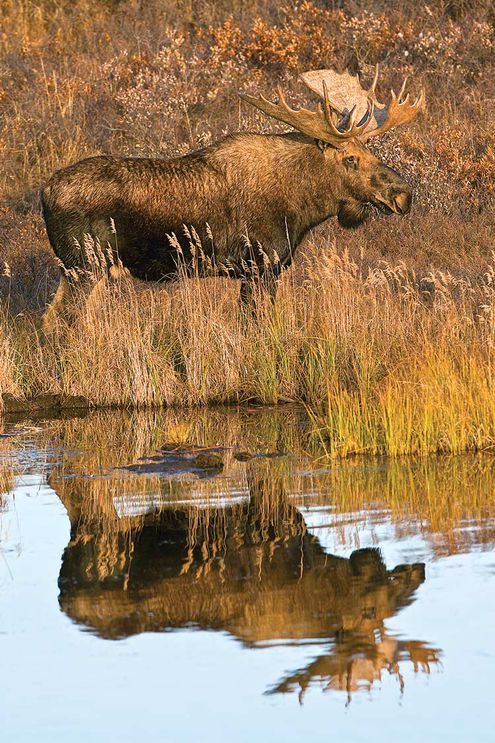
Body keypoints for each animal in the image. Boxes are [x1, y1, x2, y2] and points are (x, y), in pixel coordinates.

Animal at [40, 67, 424, 332]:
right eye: (350, 159)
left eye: (370, 151)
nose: (402, 195)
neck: (301, 207)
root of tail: (44, 193)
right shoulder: (260, 266)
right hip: (85, 265)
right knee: (58, 321)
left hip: (82, 269)